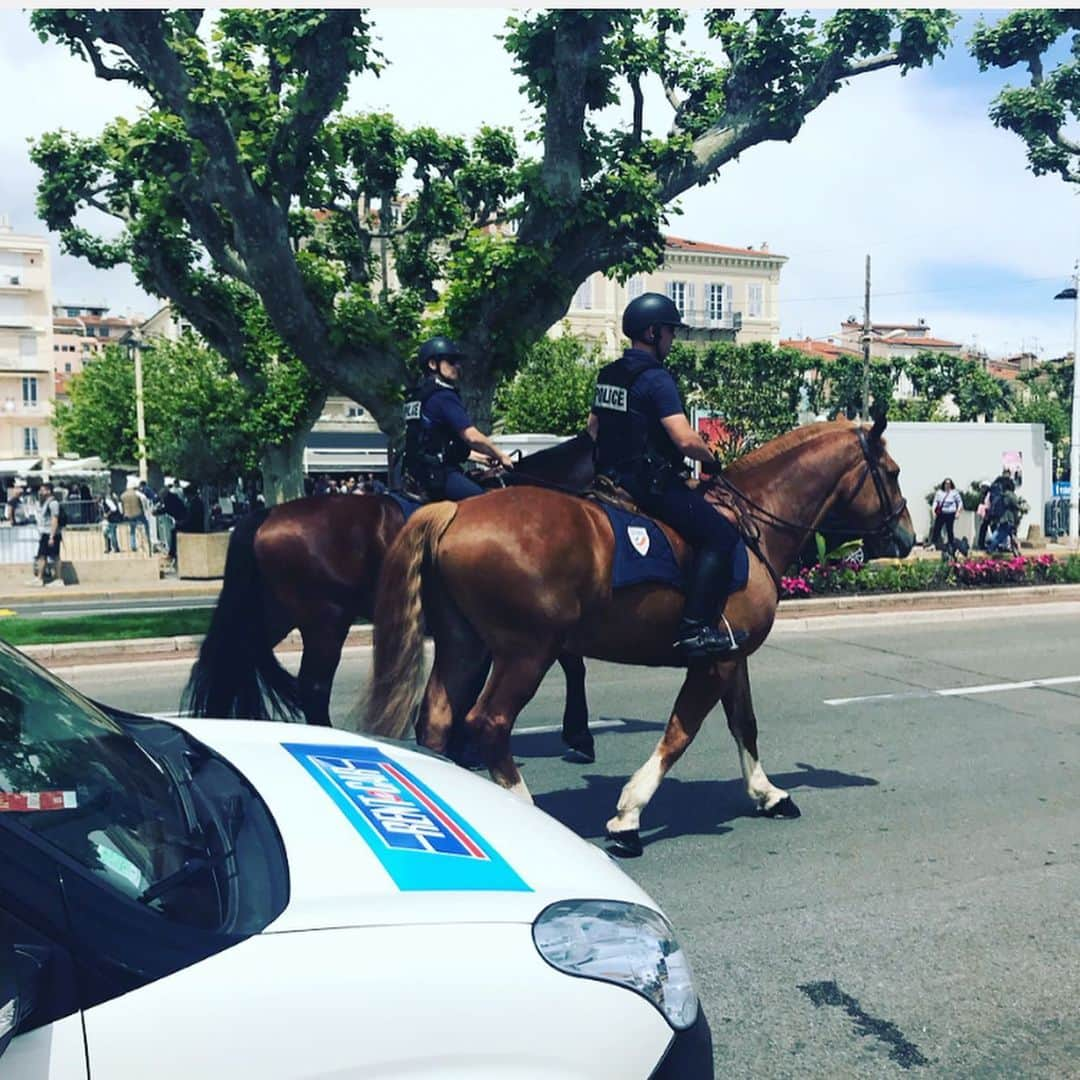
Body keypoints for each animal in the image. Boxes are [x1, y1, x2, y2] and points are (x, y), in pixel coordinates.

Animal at [180, 432, 596, 760]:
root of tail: (266, 514)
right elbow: (572, 665)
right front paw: (579, 736)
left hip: (274, 615)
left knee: (234, 658)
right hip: (326, 620)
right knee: (312, 686)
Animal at [367, 416, 915, 855]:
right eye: (891, 473)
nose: (908, 537)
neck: (751, 523)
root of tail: (455, 512)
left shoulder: (732, 657)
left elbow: (745, 724)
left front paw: (768, 794)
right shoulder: (711, 662)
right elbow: (679, 734)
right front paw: (628, 816)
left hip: (464, 647)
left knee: (437, 720)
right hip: (526, 653)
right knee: (489, 722)